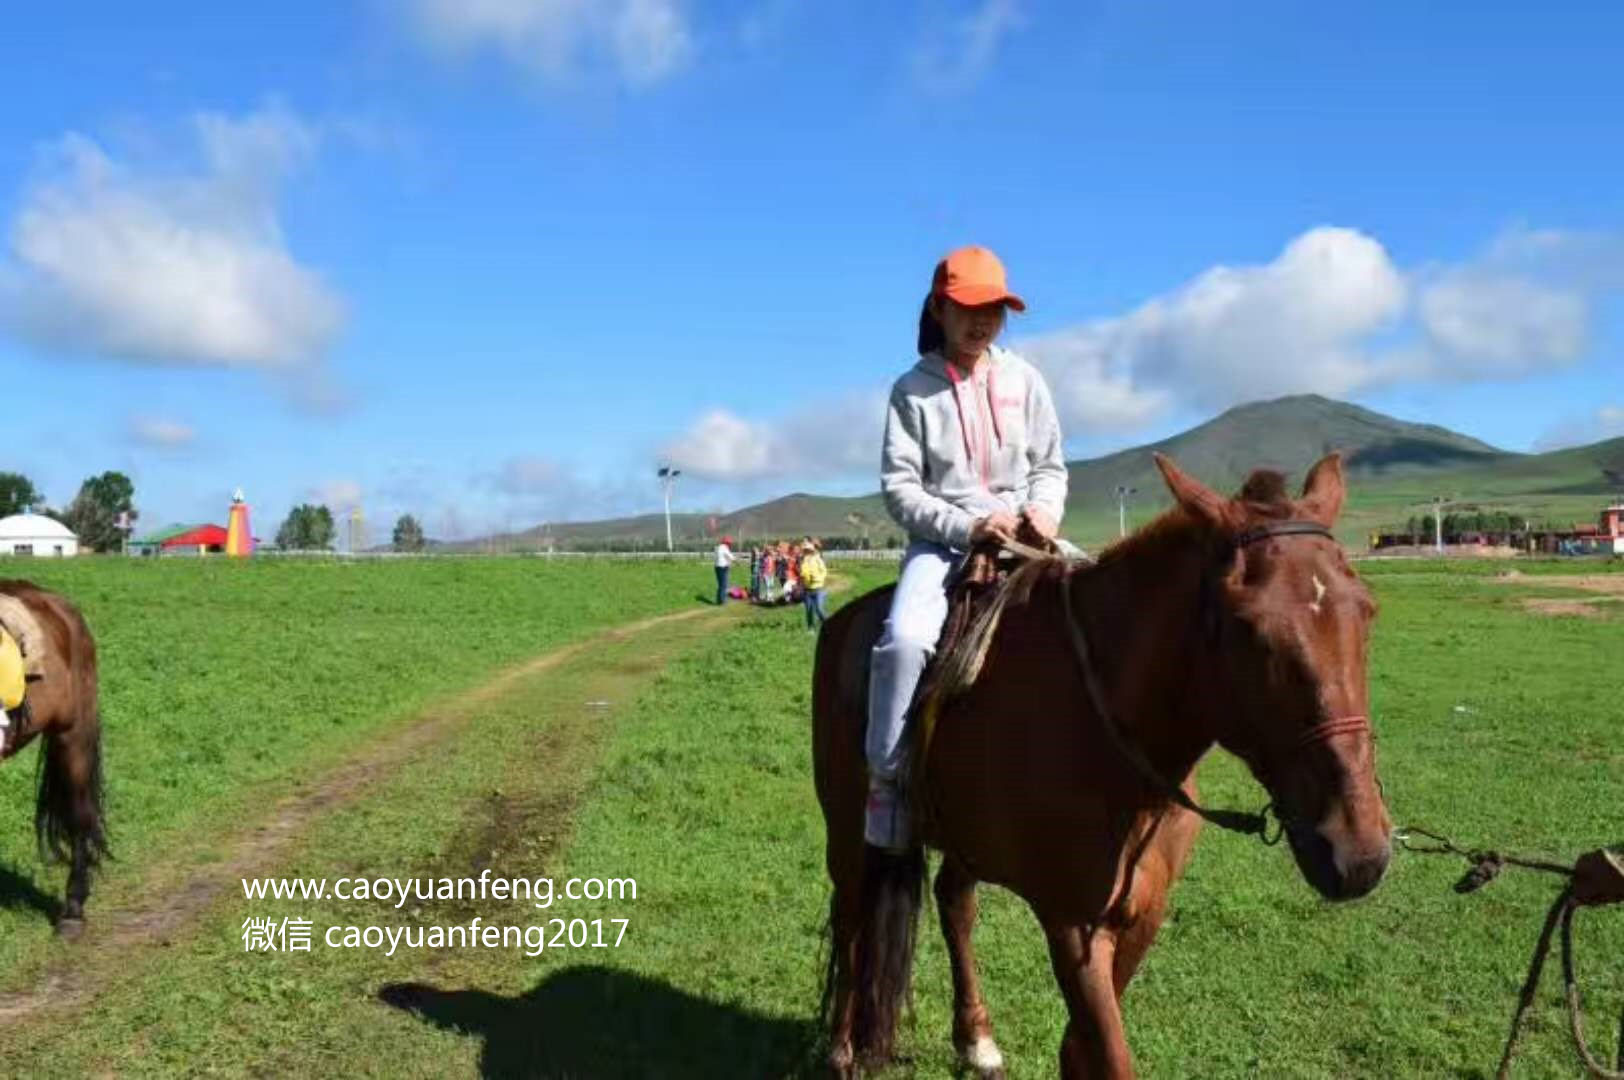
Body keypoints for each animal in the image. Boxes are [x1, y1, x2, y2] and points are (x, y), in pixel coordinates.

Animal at [812, 451, 1396, 1071]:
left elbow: (1080, 1047)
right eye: (1248, 628)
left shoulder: (1142, 912)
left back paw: (976, 1038)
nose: (1357, 850)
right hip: (848, 830)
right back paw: (844, 1047)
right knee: (852, 916)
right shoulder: (1074, 926)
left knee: (954, 904)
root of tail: (843, 624)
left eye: (1367, 612)